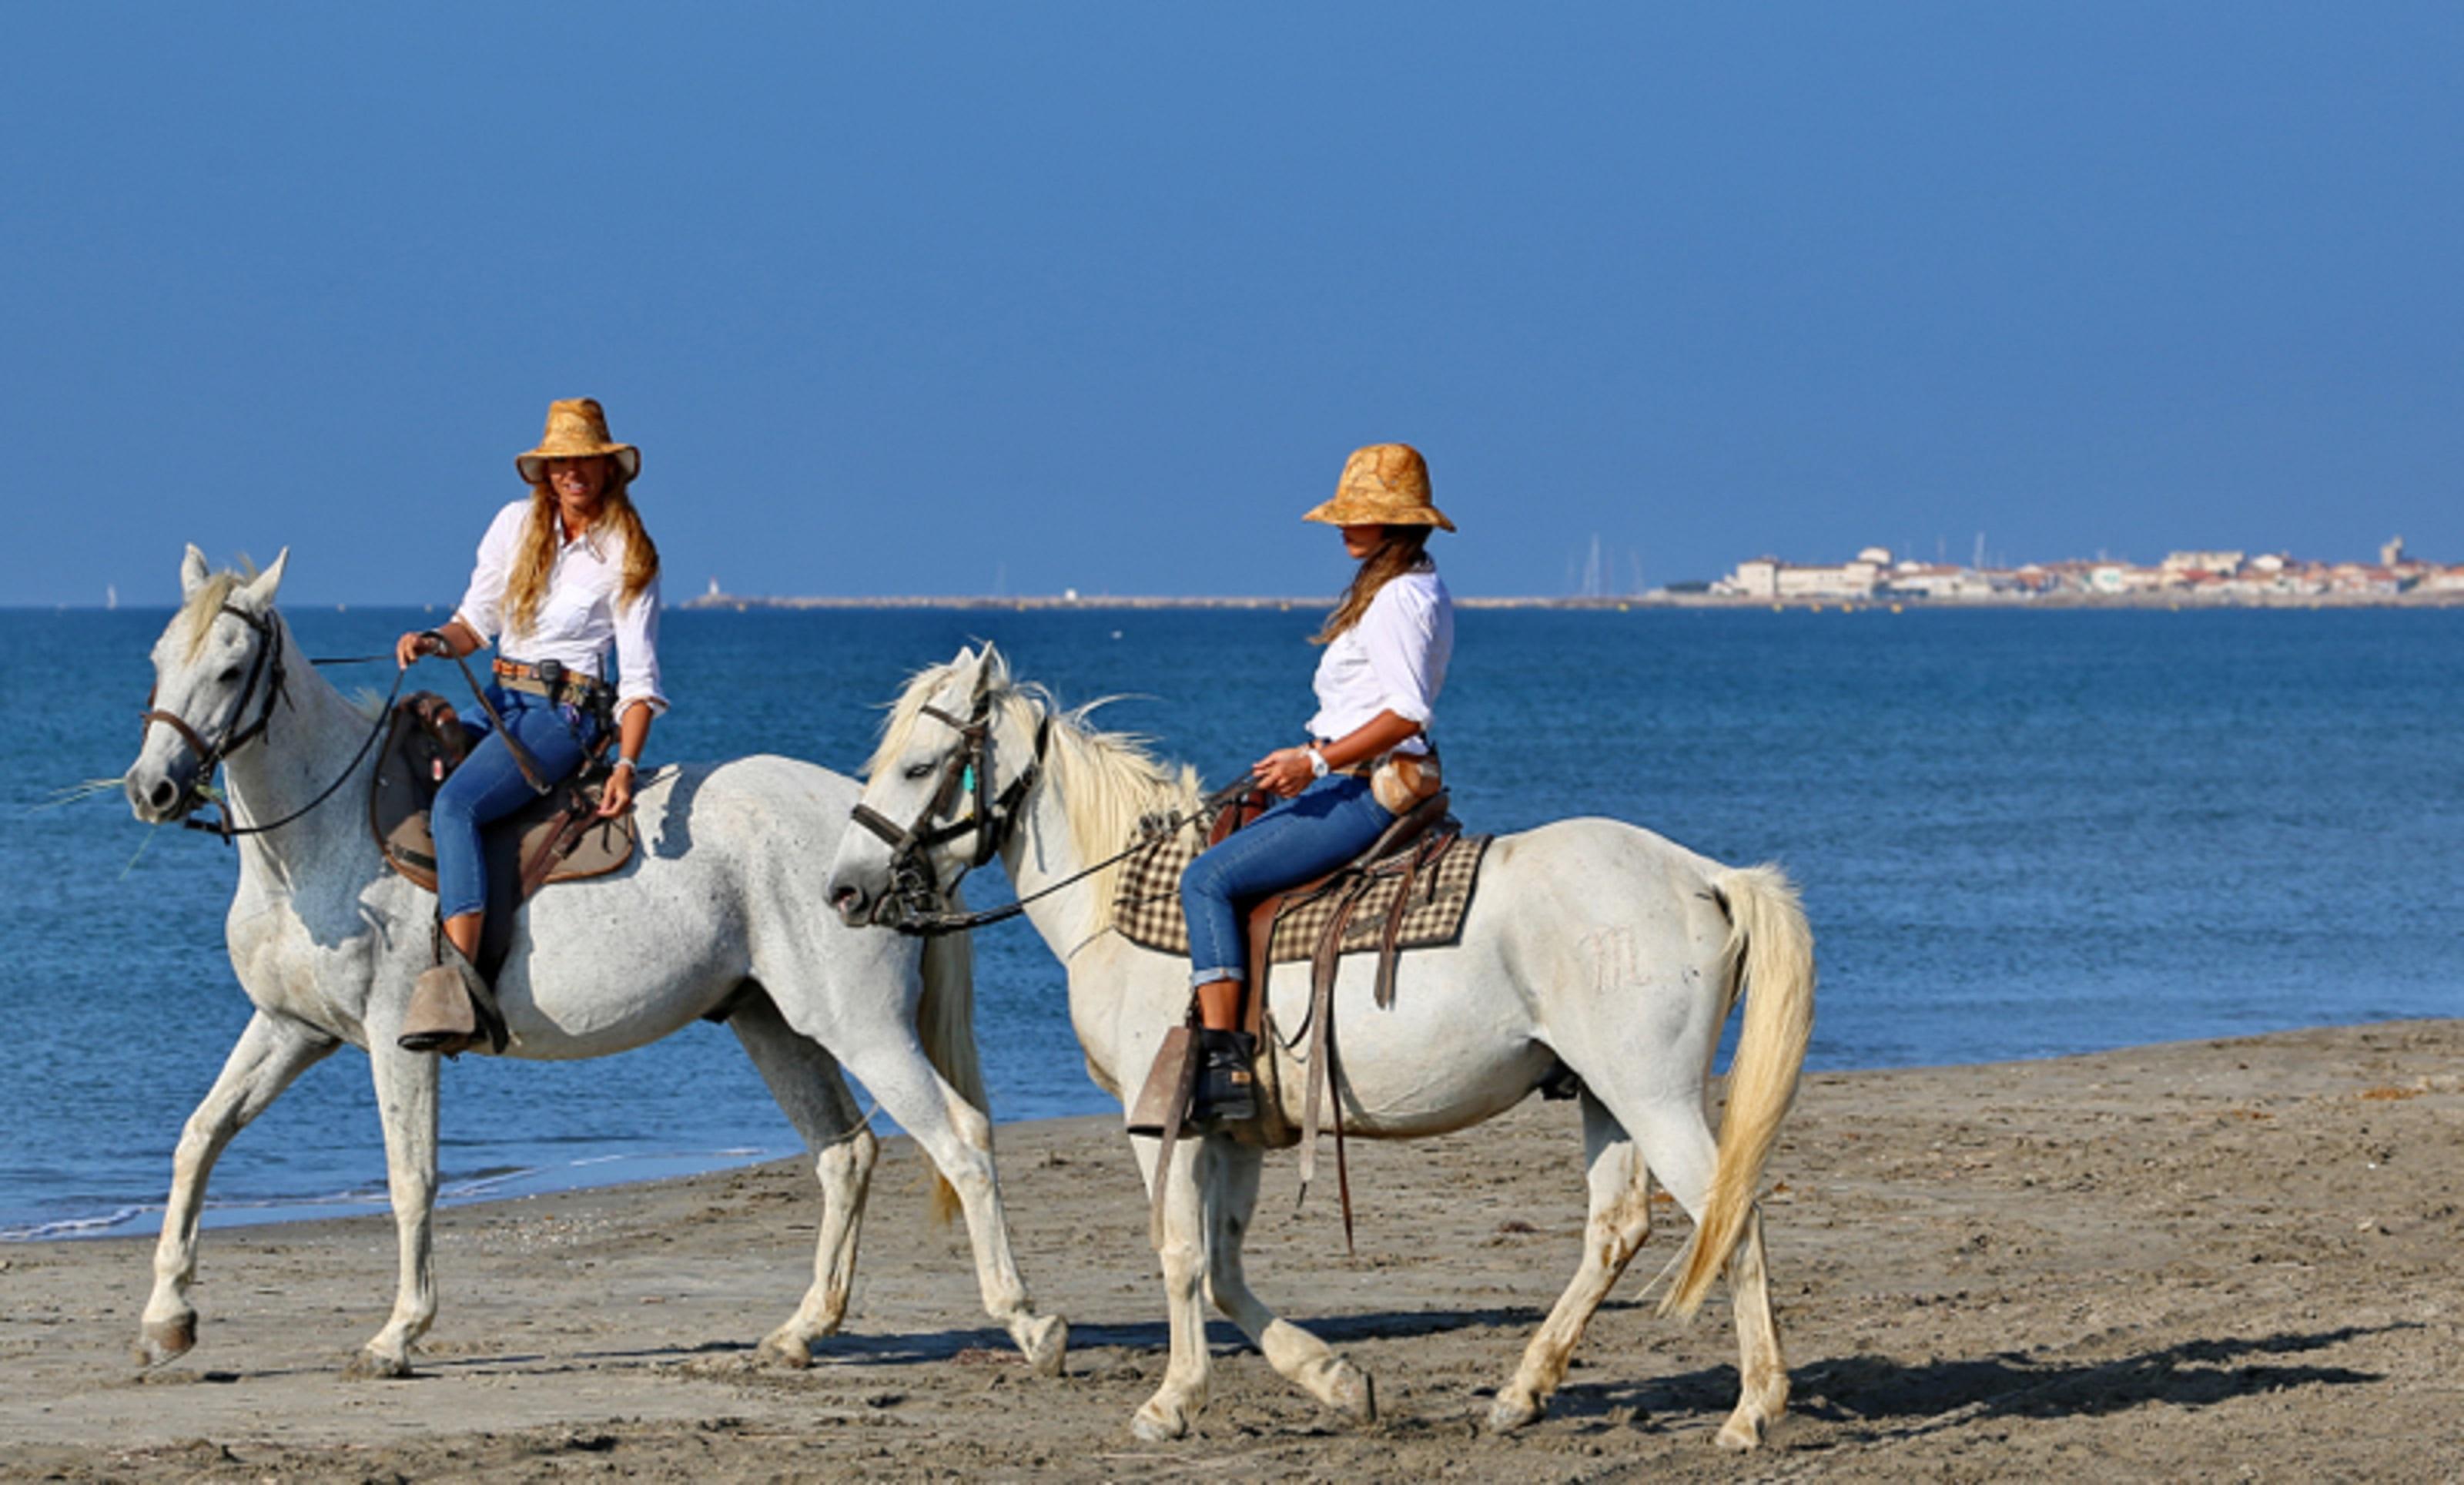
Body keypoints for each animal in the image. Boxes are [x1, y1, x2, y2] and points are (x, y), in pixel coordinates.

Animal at [120, 550, 1069, 1381]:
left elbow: (411, 1179)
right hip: (773, 1022)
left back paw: (1029, 1322)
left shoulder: (397, 1042)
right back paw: (800, 1332)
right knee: (845, 1154)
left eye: (231, 668)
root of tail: (880, 842)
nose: (152, 789)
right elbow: (198, 1138)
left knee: (960, 1141)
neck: (325, 838)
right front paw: (167, 1320)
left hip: (862, 1028)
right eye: (160, 659)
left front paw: (397, 1336)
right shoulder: (290, 1029)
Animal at [828, 641, 1813, 1440]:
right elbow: (1222, 1264)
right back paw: (1520, 1392)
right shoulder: (1233, 1126)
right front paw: (1335, 1380)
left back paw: (1750, 1410)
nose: (843, 890)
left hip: (1652, 1095)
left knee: (1730, 1213)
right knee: (1616, 1227)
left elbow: (1179, 1254)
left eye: (919, 765)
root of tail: (1702, 875)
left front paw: (1169, 1402)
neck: (1123, 903)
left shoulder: (1161, 1120)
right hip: (1606, 1094)